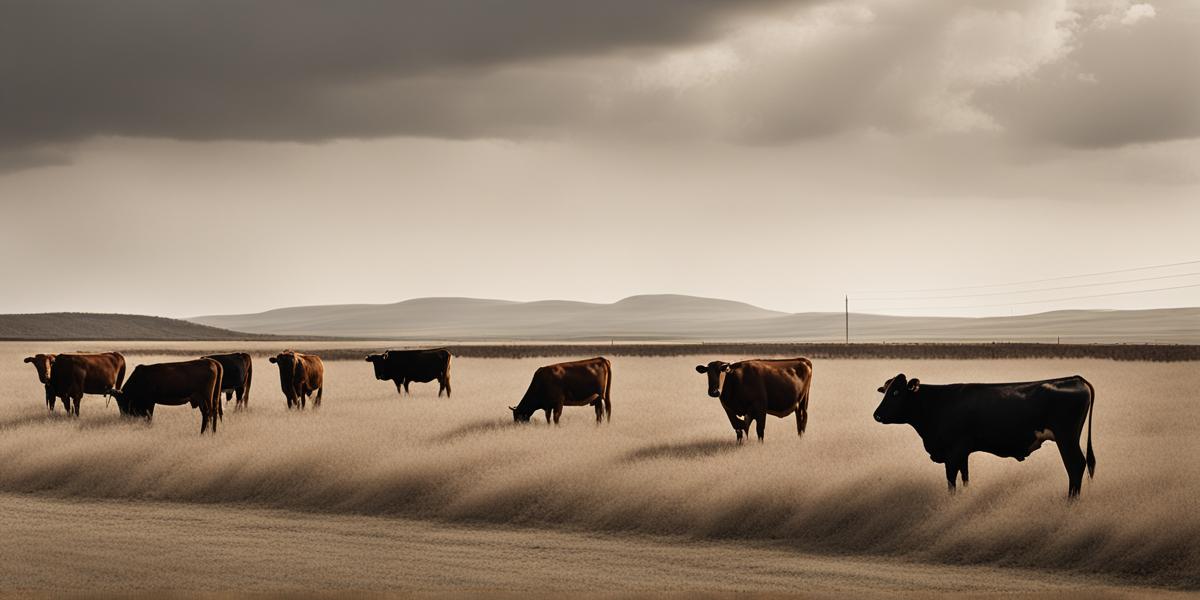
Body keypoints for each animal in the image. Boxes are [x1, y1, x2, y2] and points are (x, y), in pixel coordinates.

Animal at [872, 373, 1096, 499]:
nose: (877, 415)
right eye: (885, 391)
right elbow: (965, 477)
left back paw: (1071, 502)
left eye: (896, 393)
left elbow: (951, 482)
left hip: (1067, 438)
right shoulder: (962, 452)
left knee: (1075, 465)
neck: (937, 404)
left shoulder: (952, 453)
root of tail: (1076, 379)